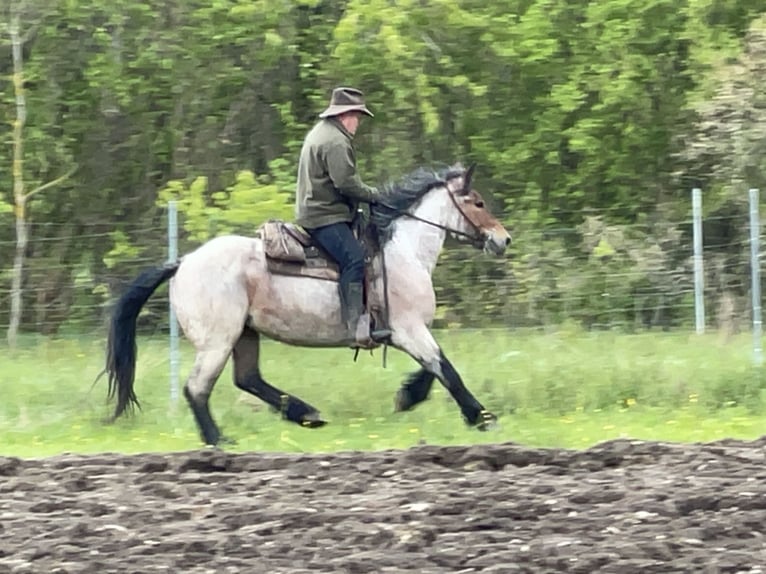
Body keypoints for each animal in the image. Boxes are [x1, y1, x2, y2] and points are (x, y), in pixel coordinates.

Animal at [100, 162, 510, 446]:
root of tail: (183, 262)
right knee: (197, 388)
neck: (403, 252)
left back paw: (306, 414)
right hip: (219, 340)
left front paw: (407, 397)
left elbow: (433, 369)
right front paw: (482, 417)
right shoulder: (409, 330)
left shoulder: (408, 332)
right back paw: (219, 440)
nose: (503, 239)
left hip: (244, 334)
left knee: (248, 379)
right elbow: (446, 369)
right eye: (477, 202)